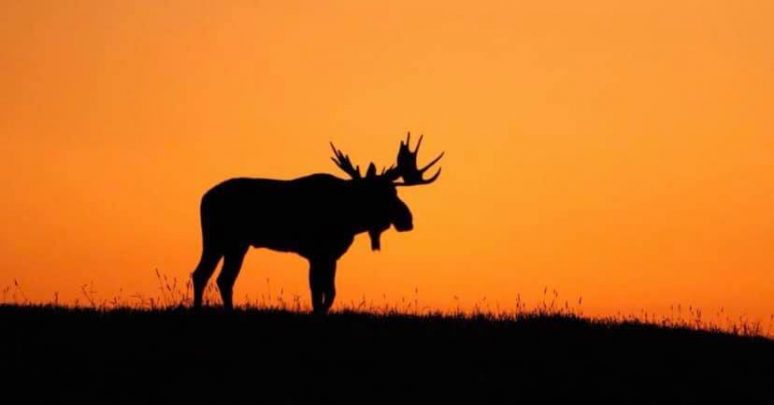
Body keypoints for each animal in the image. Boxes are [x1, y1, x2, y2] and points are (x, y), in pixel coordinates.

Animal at [191, 133, 443, 313]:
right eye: (385, 195)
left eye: (394, 191)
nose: (407, 219)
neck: (351, 219)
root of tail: (204, 197)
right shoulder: (316, 252)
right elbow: (317, 291)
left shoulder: (331, 255)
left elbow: (329, 292)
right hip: (219, 239)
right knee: (204, 274)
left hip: (237, 245)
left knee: (220, 278)